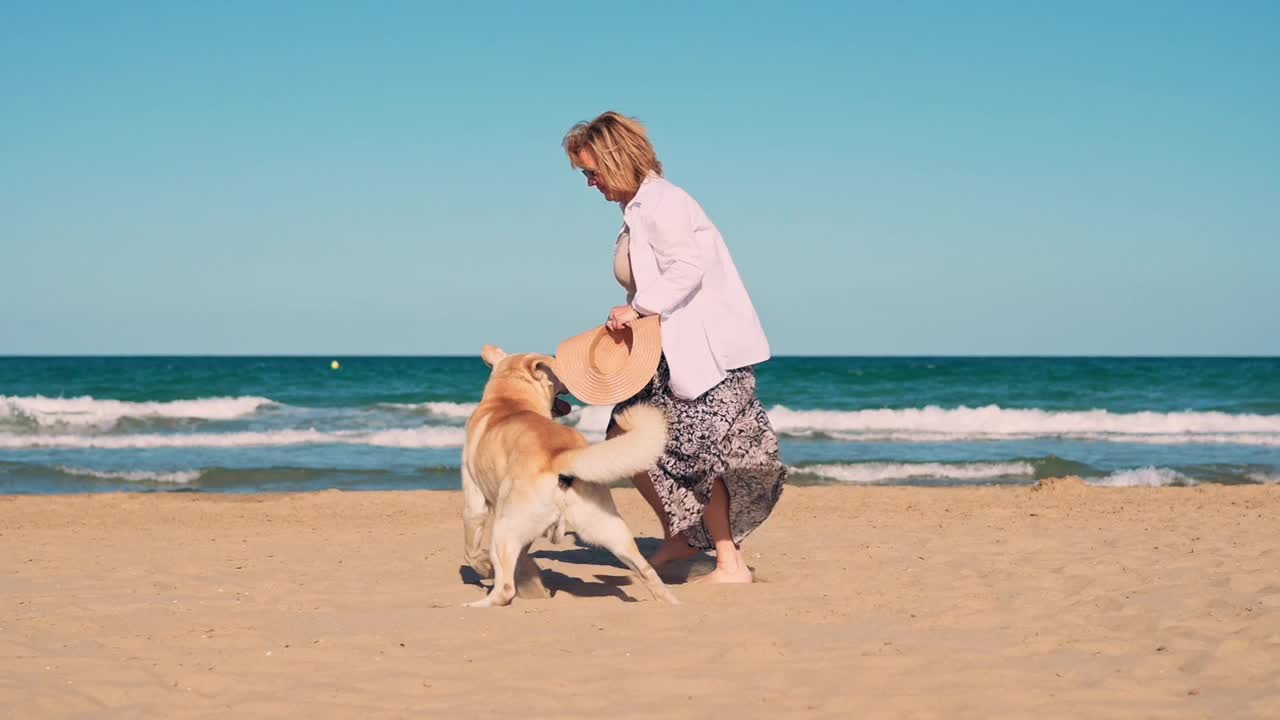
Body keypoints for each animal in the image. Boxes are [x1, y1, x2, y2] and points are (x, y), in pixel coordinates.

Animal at [460, 345, 680, 602]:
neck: (510, 398)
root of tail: (560, 456)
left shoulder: (475, 502)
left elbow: (472, 550)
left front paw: (485, 567)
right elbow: (523, 561)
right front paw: (534, 586)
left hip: (504, 528)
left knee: (505, 588)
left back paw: (477, 604)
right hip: (610, 529)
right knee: (648, 571)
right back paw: (671, 603)